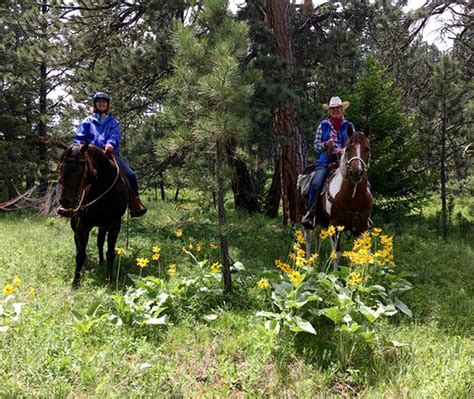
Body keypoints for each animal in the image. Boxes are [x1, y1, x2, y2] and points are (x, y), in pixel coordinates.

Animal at [58, 144, 129, 288]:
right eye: (61, 168)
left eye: (79, 170)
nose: (65, 202)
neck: (102, 187)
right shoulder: (83, 225)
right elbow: (80, 254)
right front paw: (75, 283)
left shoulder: (114, 224)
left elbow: (110, 252)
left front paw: (109, 279)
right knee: (78, 243)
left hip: (103, 226)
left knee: (100, 241)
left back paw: (101, 262)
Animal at [304, 126, 374, 260]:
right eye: (348, 149)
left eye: (367, 149)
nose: (356, 173)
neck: (352, 197)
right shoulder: (335, 225)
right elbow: (336, 253)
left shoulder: (362, 227)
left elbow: (361, 253)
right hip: (305, 217)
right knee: (308, 238)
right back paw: (308, 260)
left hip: (321, 219)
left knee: (318, 235)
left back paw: (315, 261)